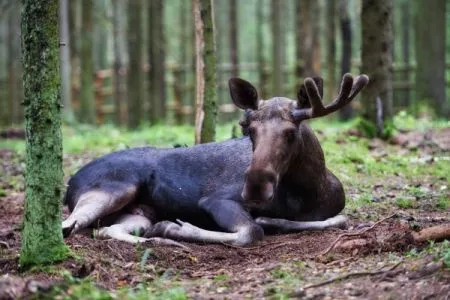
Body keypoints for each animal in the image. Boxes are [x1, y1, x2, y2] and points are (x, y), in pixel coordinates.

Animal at [62, 73, 370, 246]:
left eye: (291, 132)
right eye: (249, 129)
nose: (255, 187)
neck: (309, 193)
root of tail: (69, 184)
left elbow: (341, 219)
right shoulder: (216, 199)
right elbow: (252, 231)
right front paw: (177, 228)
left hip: (139, 213)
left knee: (105, 230)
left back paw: (157, 240)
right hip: (114, 189)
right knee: (70, 226)